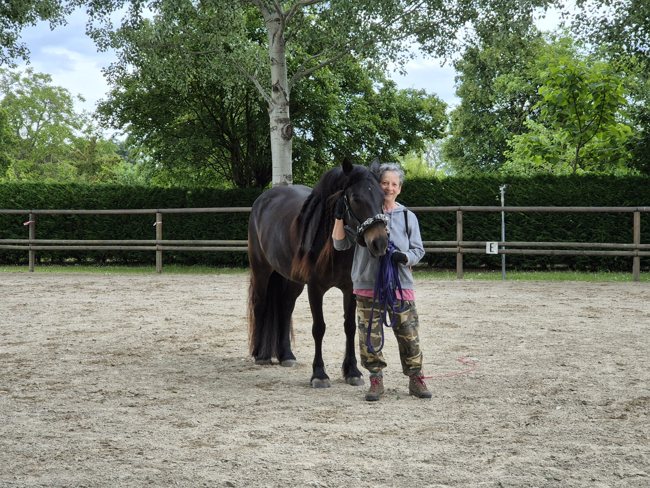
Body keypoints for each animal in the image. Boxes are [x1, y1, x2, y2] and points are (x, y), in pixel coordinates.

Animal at [247, 158, 389, 387]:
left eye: (382, 197)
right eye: (355, 198)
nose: (380, 243)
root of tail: (263, 199)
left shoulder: (350, 289)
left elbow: (350, 327)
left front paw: (352, 371)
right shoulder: (315, 288)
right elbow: (319, 328)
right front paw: (319, 374)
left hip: (292, 280)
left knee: (285, 307)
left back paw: (286, 355)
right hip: (261, 270)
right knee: (259, 304)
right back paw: (260, 355)